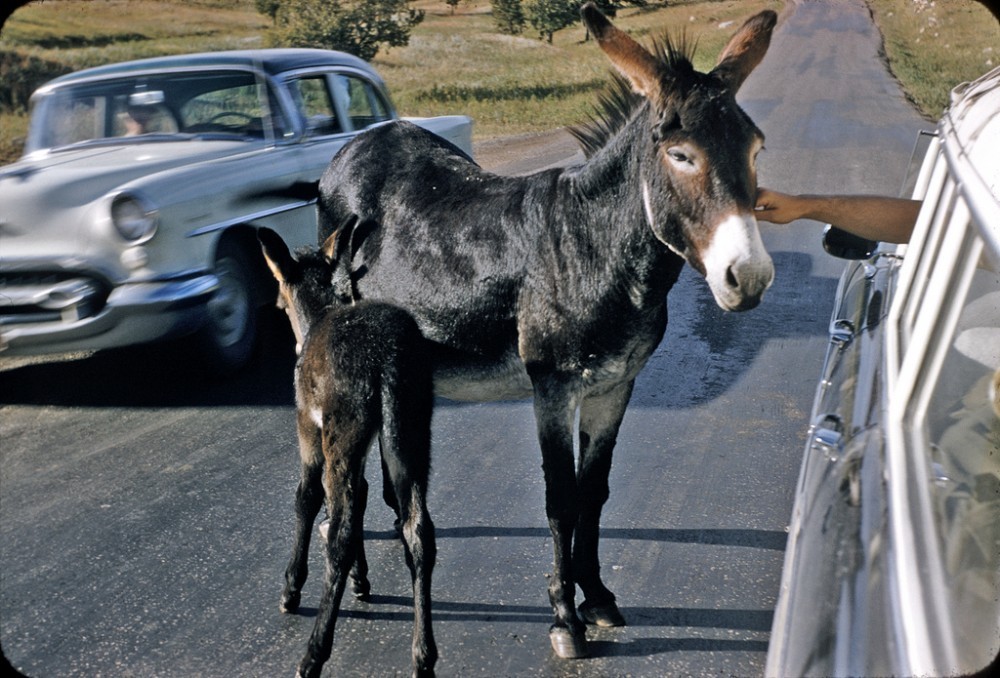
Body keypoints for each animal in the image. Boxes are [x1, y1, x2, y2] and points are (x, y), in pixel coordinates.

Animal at [260, 227, 436, 678]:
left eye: (280, 300)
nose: (277, 310)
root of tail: (386, 359)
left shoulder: (309, 428)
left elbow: (307, 497)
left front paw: (291, 586)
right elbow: (365, 494)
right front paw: (362, 579)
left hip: (345, 429)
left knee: (338, 531)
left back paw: (313, 653)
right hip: (409, 431)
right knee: (418, 530)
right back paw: (423, 655)